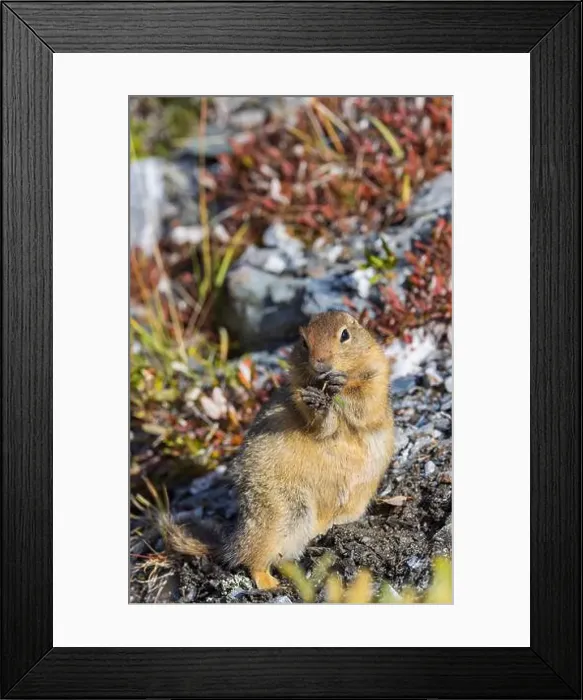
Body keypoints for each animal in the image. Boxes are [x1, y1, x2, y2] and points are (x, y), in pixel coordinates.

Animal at [160, 310, 394, 590]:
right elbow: (321, 425)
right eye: (304, 342)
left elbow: (366, 402)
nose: (321, 364)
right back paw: (270, 583)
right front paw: (318, 402)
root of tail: (233, 541)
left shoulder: (376, 375)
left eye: (345, 335)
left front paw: (339, 385)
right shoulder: (297, 391)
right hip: (283, 512)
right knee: (253, 559)